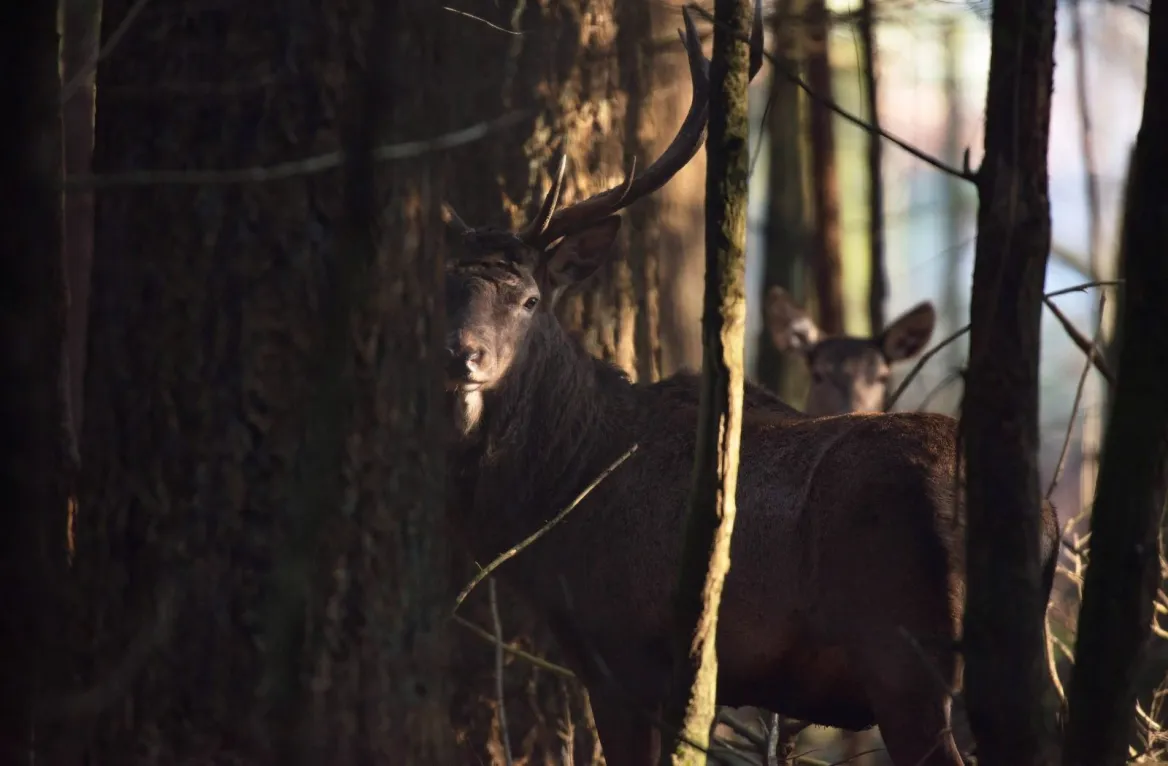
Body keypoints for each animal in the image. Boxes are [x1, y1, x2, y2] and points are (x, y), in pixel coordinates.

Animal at [440, 9, 1059, 766]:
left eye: (529, 299)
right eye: (448, 287)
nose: (463, 355)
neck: (560, 492)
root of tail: (1046, 516)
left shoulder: (619, 654)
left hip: (904, 653)